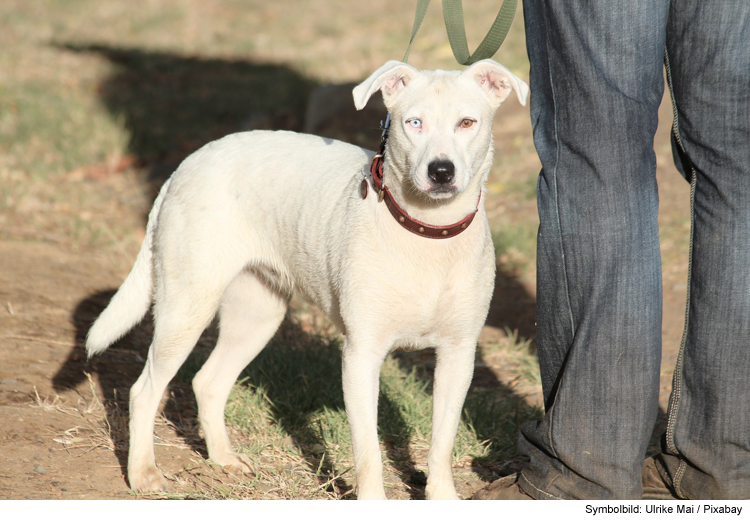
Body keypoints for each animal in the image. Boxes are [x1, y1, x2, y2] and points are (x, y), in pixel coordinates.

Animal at [86, 59, 528, 502]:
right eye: (413, 123)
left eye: (467, 122)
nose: (441, 171)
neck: (426, 233)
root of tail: (185, 164)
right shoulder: (361, 355)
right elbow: (368, 451)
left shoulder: (458, 355)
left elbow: (441, 443)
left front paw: (443, 497)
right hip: (187, 308)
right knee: (144, 390)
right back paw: (143, 473)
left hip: (257, 315)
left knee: (207, 381)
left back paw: (224, 459)